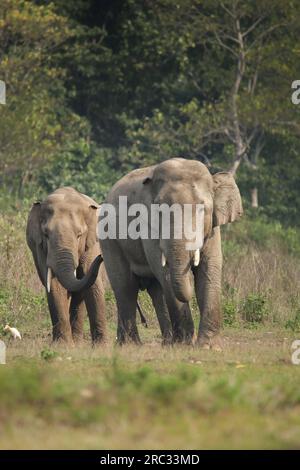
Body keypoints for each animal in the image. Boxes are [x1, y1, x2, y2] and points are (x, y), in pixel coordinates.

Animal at [25, 187, 106, 346]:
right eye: (46, 234)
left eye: (79, 235)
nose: (101, 257)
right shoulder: (40, 248)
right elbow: (55, 285)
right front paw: (63, 346)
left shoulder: (92, 243)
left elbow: (93, 285)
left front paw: (102, 347)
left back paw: (78, 343)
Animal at [99, 158, 243, 348]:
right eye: (159, 211)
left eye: (202, 208)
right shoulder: (148, 227)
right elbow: (165, 272)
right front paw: (184, 344)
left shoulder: (212, 229)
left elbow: (209, 269)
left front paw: (209, 346)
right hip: (110, 240)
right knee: (126, 286)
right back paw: (131, 345)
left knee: (156, 291)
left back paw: (166, 343)